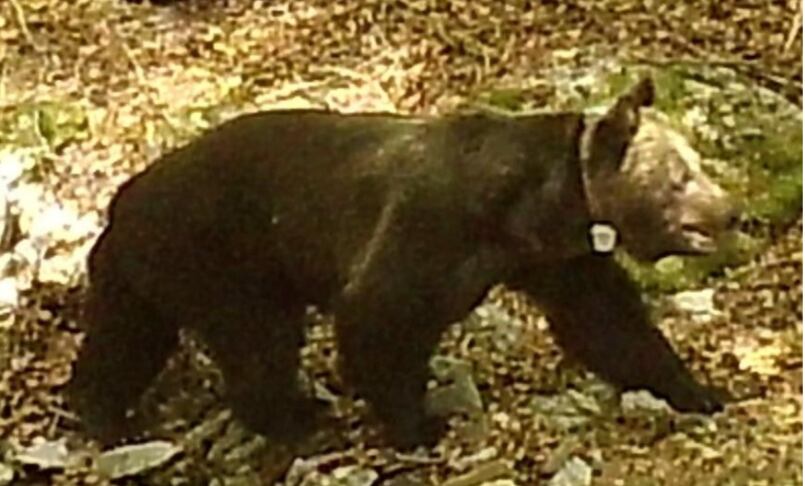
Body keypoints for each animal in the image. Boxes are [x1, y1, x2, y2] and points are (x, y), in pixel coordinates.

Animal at [68, 77, 737, 449]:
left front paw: (698, 389)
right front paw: (416, 425)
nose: (730, 212)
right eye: (681, 176)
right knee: (257, 340)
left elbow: (606, 322)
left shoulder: (556, 256)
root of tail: (122, 201)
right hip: (222, 253)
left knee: (125, 339)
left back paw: (102, 412)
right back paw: (297, 415)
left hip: (149, 271)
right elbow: (381, 313)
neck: (533, 206)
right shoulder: (433, 223)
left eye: (696, 163)